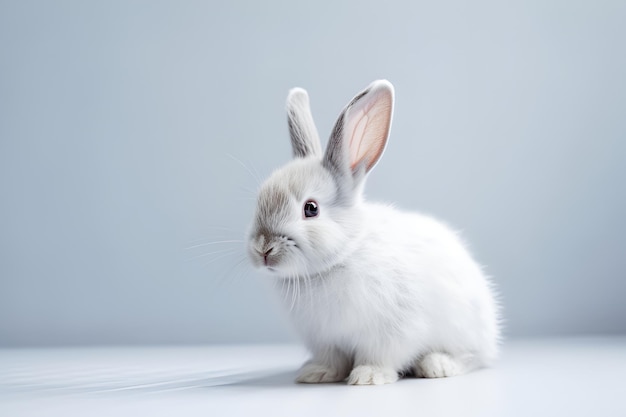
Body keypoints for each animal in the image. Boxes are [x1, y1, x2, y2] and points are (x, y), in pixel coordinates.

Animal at [246, 79, 500, 386]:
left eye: (311, 208)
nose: (263, 249)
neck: (339, 259)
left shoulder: (393, 329)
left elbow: (380, 355)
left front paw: (368, 376)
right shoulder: (326, 340)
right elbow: (331, 359)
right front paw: (317, 373)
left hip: (463, 329)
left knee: (470, 357)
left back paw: (437, 365)